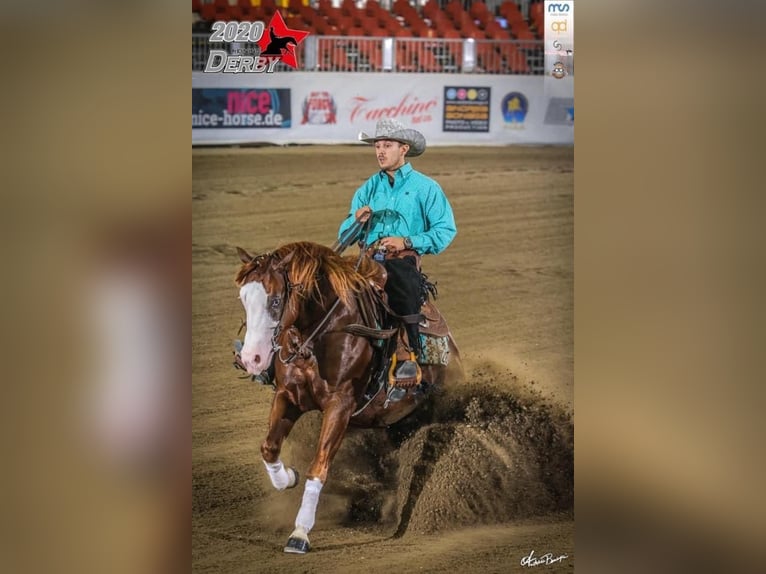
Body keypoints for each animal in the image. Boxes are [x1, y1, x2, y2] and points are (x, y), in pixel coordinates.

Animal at [234, 241, 462, 556]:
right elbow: (269, 448)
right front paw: (288, 477)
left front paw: (300, 532)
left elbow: (319, 466)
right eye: (244, 299)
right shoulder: (288, 396)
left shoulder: (340, 405)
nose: (251, 359)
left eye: (276, 301)